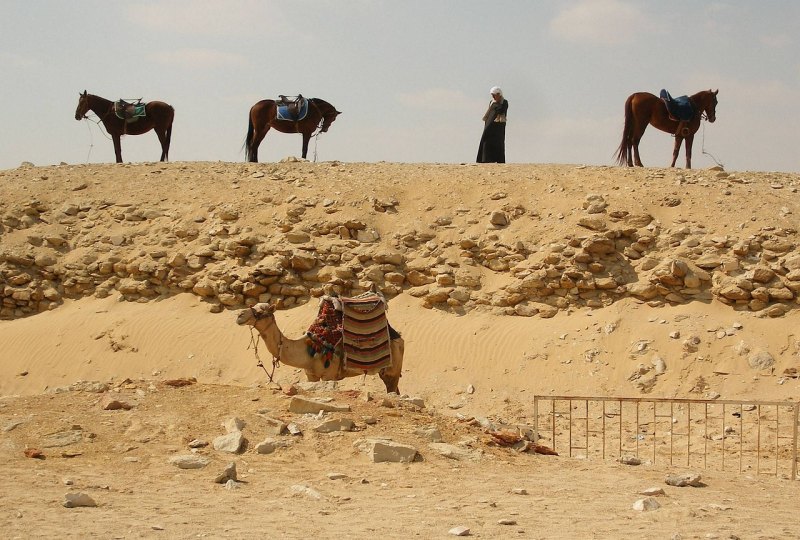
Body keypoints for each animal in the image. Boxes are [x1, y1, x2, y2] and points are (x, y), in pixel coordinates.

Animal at [234, 304, 404, 392]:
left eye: (261, 311)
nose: (239, 316)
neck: (308, 350)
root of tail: (399, 338)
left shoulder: (329, 375)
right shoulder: (311, 375)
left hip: (393, 370)